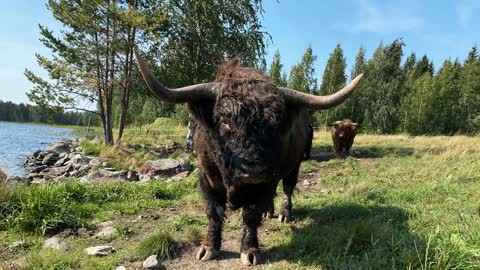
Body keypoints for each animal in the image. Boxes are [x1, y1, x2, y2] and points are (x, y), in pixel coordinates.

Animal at [133, 49, 362, 266]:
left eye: (276, 123)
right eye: (224, 121)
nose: (253, 171)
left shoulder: (264, 183)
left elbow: (251, 215)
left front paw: (250, 251)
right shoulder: (206, 178)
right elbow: (213, 212)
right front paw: (209, 247)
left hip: (293, 167)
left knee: (287, 189)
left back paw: (283, 213)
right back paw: (269, 211)